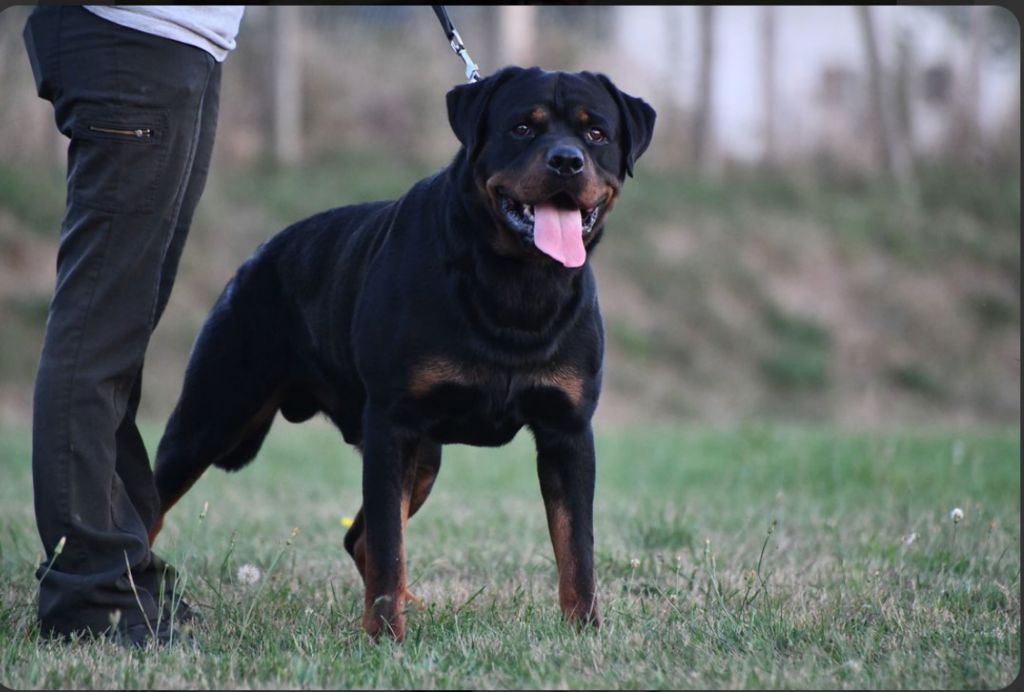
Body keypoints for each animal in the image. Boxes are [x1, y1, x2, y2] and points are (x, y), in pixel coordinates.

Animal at [149, 65, 655, 638]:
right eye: (523, 128)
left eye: (596, 134)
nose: (567, 160)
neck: (516, 285)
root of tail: (258, 257)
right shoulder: (393, 423)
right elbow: (391, 545)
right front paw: (384, 637)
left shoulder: (565, 430)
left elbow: (577, 548)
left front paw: (583, 630)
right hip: (210, 416)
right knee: (153, 499)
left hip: (424, 457)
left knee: (359, 537)